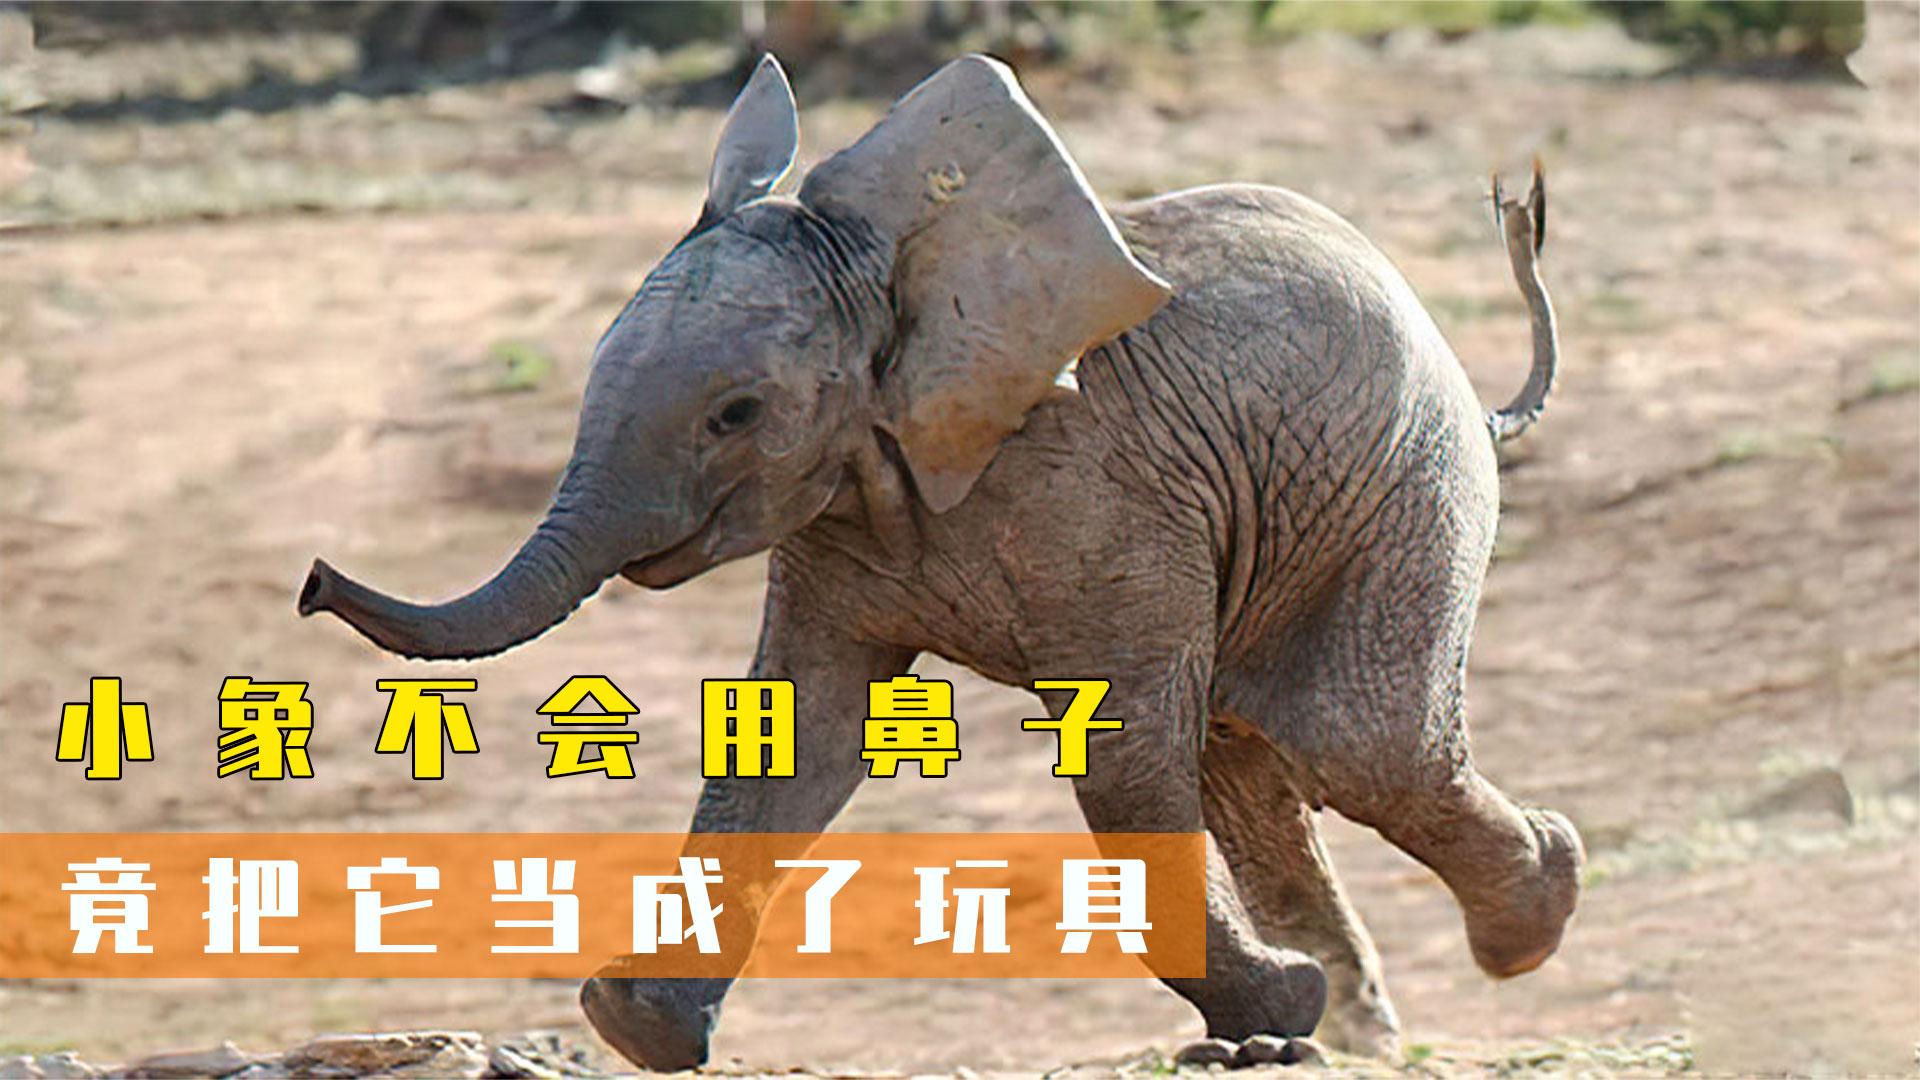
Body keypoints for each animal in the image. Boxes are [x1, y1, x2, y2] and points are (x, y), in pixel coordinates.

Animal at [298, 54, 1581, 1069]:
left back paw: (1529, 916)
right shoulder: (840, 510)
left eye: (735, 414)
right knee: (1254, 761)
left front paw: (1281, 1007)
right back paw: (1352, 1029)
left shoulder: (1101, 492)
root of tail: (1475, 392)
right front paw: (635, 1027)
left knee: (1357, 746)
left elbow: (1122, 761)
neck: (894, 282)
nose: (312, 582)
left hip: (1403, 484)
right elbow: (796, 737)